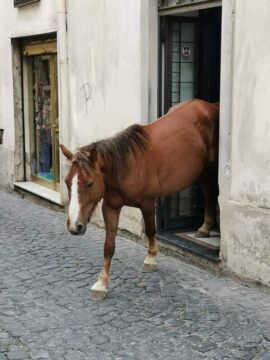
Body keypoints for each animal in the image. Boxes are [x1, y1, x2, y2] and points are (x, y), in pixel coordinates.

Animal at [60, 99, 218, 300]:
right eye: (66, 182)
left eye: (89, 184)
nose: (75, 226)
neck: (125, 167)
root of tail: (209, 105)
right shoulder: (110, 207)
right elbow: (108, 246)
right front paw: (101, 284)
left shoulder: (148, 203)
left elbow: (150, 230)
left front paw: (150, 259)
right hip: (202, 171)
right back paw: (205, 227)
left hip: (210, 167)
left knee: (211, 192)